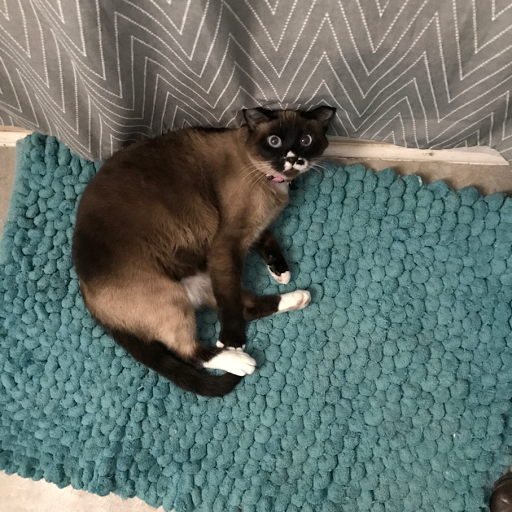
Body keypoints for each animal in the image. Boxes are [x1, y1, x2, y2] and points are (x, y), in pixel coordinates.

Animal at [72, 106, 336, 397]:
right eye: (274, 142)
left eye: (305, 141)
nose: (292, 158)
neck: (271, 181)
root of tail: (88, 299)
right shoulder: (227, 241)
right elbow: (229, 307)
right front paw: (233, 341)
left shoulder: (247, 230)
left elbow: (266, 239)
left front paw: (280, 271)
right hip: (173, 296)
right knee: (191, 351)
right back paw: (240, 360)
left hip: (203, 279)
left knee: (247, 308)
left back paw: (299, 297)